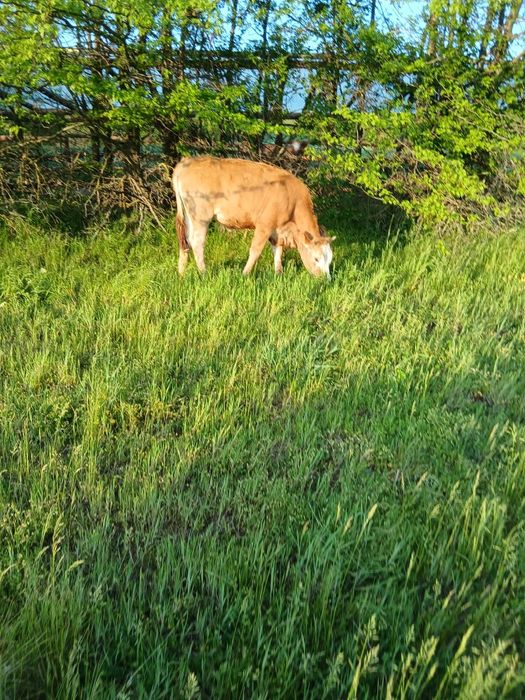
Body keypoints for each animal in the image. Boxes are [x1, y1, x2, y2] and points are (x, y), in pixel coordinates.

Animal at [172, 156, 335, 278]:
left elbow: (278, 251)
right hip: (201, 215)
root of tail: (186, 162)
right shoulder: (265, 224)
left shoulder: (277, 229)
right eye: (316, 258)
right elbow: (255, 250)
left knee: (185, 241)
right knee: (197, 242)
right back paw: (204, 273)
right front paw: (245, 274)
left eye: (330, 259)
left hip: (189, 215)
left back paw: (181, 273)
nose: (326, 280)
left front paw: (279, 273)